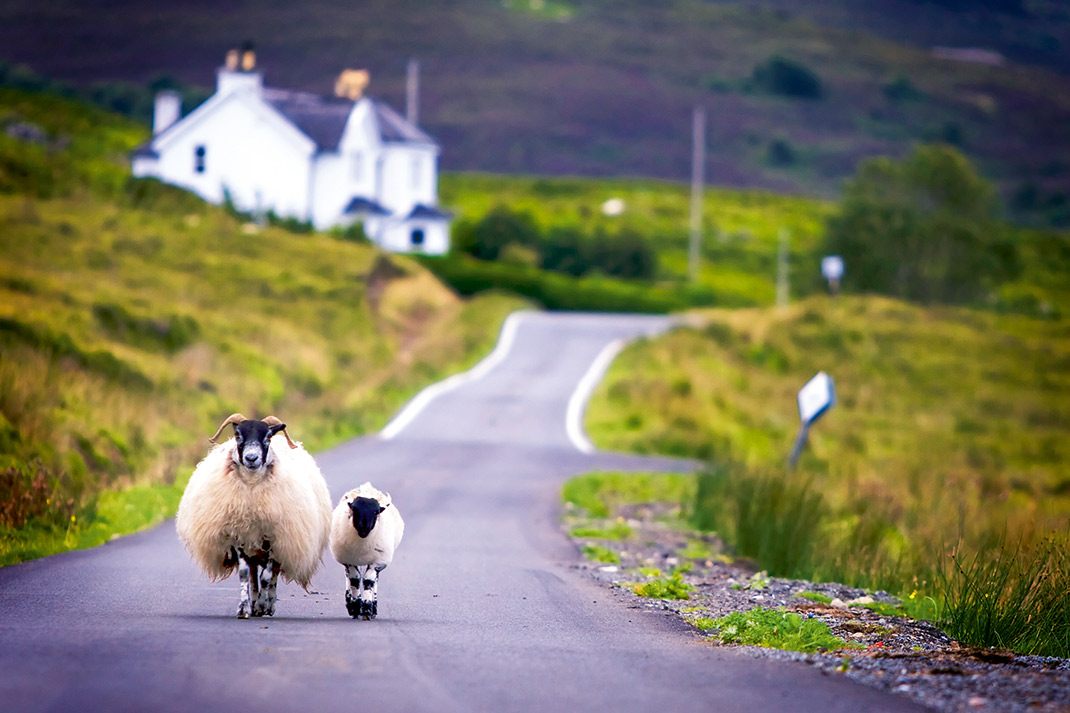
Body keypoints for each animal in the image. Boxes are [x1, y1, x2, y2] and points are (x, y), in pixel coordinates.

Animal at [175, 411, 329, 616]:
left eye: (268, 437)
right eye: (238, 435)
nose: (251, 458)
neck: (251, 489)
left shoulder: (273, 538)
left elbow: (267, 577)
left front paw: (263, 604)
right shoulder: (239, 535)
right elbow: (245, 574)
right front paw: (244, 608)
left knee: (272, 575)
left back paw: (268, 604)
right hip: (253, 546)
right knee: (254, 575)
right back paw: (255, 602)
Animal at [327, 479, 402, 620]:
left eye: (376, 512)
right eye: (354, 509)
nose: (364, 527)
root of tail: (367, 488)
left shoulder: (377, 562)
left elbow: (369, 581)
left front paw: (367, 609)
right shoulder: (349, 561)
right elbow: (355, 579)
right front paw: (355, 607)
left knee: (374, 580)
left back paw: (373, 607)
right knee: (348, 577)